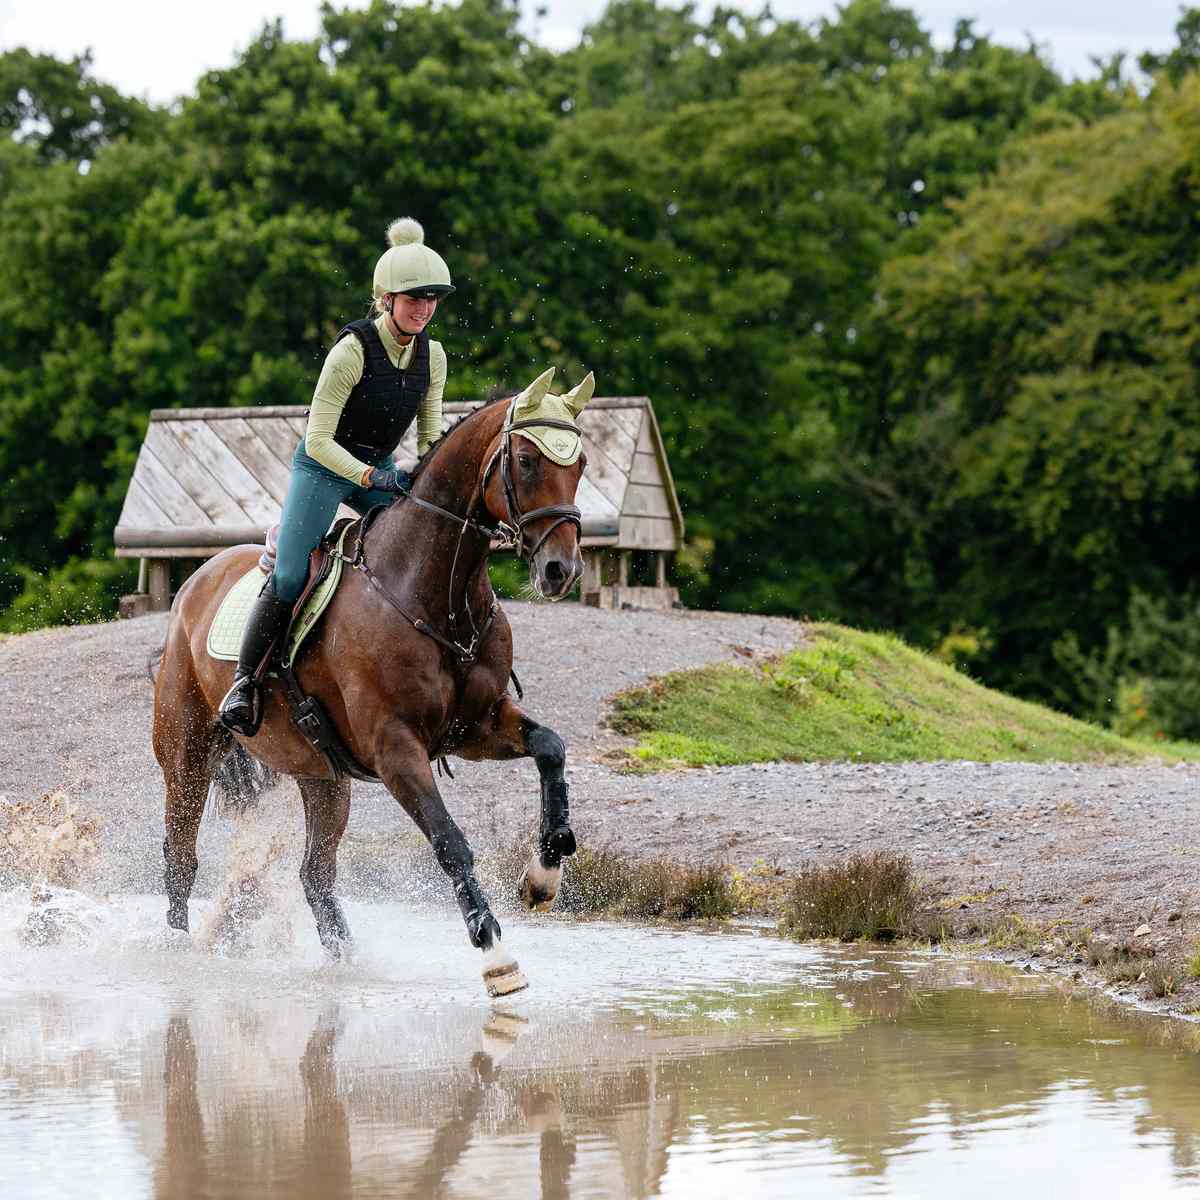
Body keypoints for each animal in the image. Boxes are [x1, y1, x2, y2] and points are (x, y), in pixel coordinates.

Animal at [151, 368, 594, 995]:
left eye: (579, 464)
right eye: (527, 461)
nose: (561, 571)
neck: (434, 595)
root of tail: (197, 581)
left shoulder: (477, 726)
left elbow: (551, 747)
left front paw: (544, 875)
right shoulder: (395, 749)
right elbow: (450, 843)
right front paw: (496, 957)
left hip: (321, 777)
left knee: (315, 874)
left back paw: (345, 962)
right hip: (187, 754)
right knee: (181, 857)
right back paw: (176, 952)